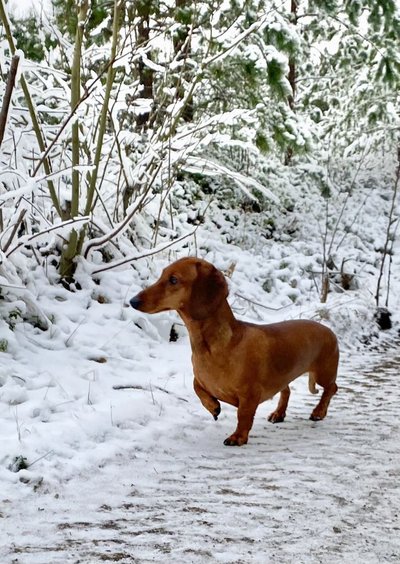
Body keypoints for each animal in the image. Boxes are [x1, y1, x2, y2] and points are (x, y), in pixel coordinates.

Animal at [130, 258, 340, 448]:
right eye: (162, 275)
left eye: (173, 280)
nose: (133, 301)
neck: (215, 345)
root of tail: (328, 330)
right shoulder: (201, 380)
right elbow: (197, 387)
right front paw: (213, 407)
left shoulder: (250, 394)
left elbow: (243, 415)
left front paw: (238, 437)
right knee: (286, 390)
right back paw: (278, 414)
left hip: (323, 373)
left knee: (332, 388)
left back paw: (319, 412)